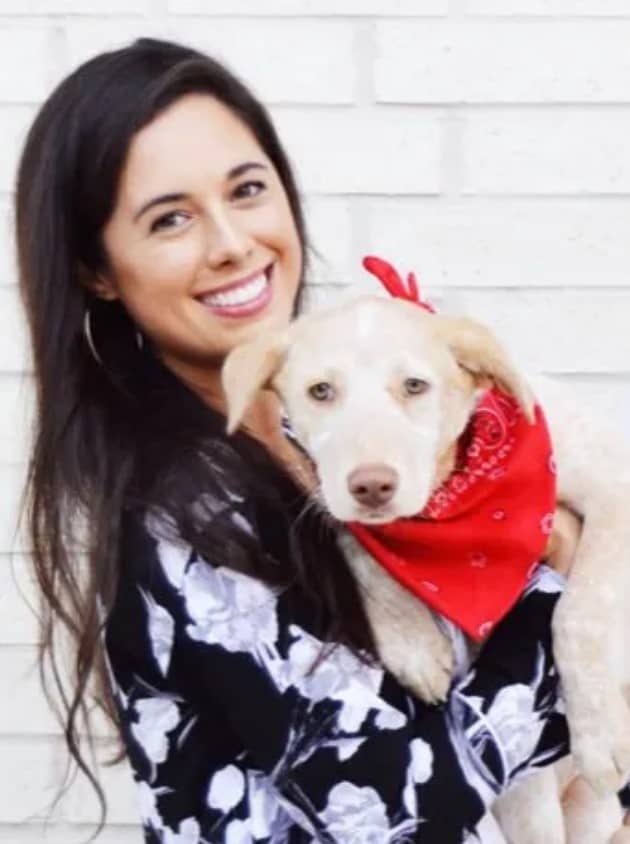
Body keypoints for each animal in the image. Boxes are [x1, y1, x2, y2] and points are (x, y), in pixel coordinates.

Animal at [222, 296, 630, 844]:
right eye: (320, 391)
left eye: (415, 386)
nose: (372, 486)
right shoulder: (330, 499)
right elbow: (359, 545)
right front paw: (412, 643)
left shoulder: (615, 486)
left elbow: (579, 611)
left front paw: (599, 733)